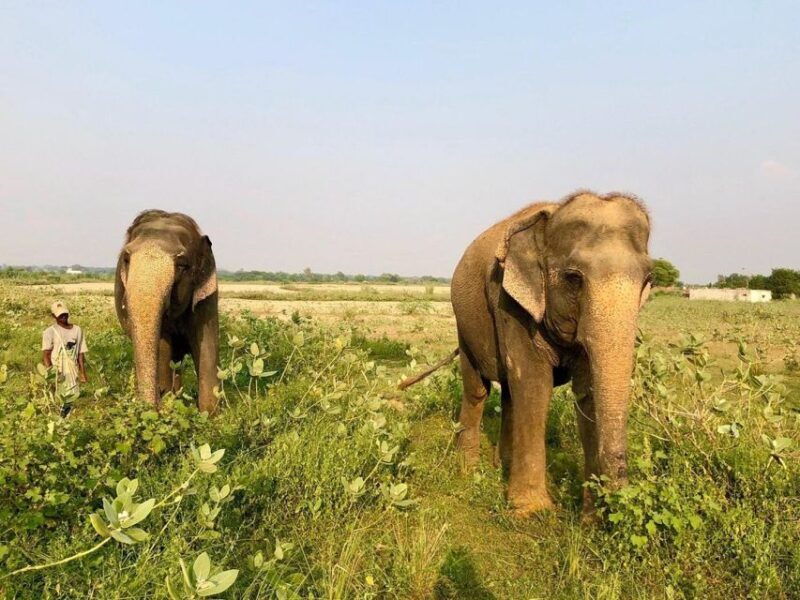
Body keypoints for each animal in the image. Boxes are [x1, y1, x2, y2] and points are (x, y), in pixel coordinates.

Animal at [114, 210, 220, 414]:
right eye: (126, 259)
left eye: (182, 265)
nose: (154, 405)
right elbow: (163, 346)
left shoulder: (206, 296)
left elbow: (207, 346)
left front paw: (210, 415)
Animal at [401, 191, 652, 517]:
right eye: (574, 278)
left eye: (648, 279)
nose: (614, 504)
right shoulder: (509, 303)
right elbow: (534, 383)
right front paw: (532, 512)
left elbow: (586, 393)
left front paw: (590, 519)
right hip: (464, 323)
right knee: (478, 389)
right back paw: (468, 470)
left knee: (509, 393)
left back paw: (502, 465)